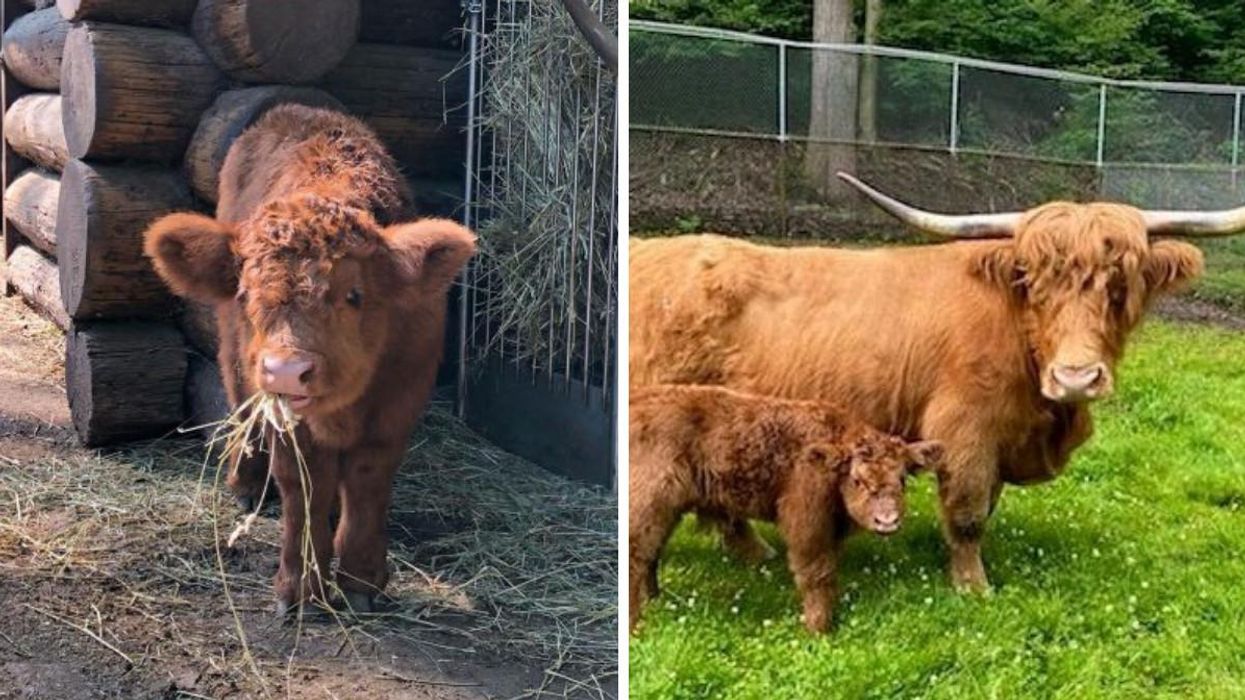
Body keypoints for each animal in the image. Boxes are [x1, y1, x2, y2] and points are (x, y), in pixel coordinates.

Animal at [143, 104, 476, 614]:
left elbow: (368, 482)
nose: (286, 370)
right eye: (245, 293)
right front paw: (300, 588)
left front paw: (361, 581)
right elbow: (304, 489)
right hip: (236, 356)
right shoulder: (289, 423)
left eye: (354, 294)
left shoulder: (397, 406)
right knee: (242, 407)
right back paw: (246, 485)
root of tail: (294, 110)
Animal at [630, 172, 1241, 592]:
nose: (1075, 377)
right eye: (1033, 282)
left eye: (1120, 285)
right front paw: (974, 587)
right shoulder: (964, 429)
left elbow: (984, 506)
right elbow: (968, 515)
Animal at [630, 384, 943, 632]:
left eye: (902, 478)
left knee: (651, 554)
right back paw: (636, 624)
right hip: (648, 504)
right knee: (637, 555)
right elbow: (816, 572)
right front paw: (819, 628)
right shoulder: (805, 520)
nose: (887, 520)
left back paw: (654, 601)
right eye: (857, 480)